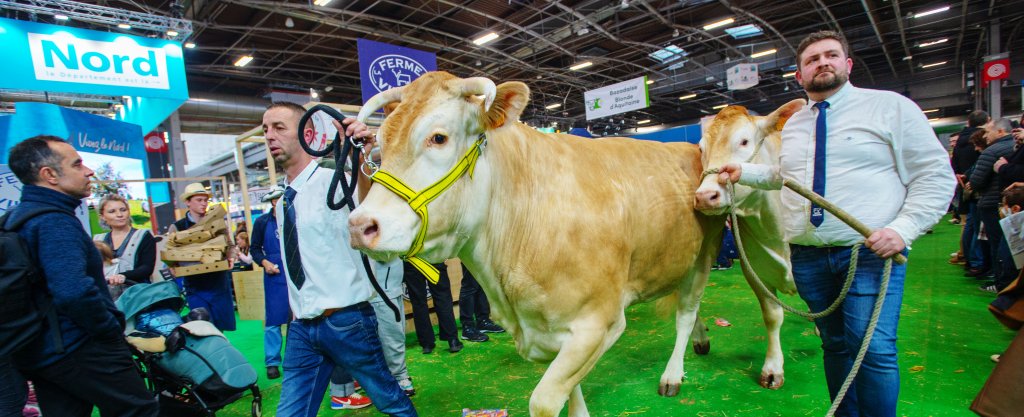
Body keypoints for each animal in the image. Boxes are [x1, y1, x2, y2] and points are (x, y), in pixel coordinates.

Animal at [696, 100, 806, 389]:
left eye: (744, 141)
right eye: (701, 148)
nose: (705, 196)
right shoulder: (754, 271)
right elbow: (772, 315)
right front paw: (773, 369)